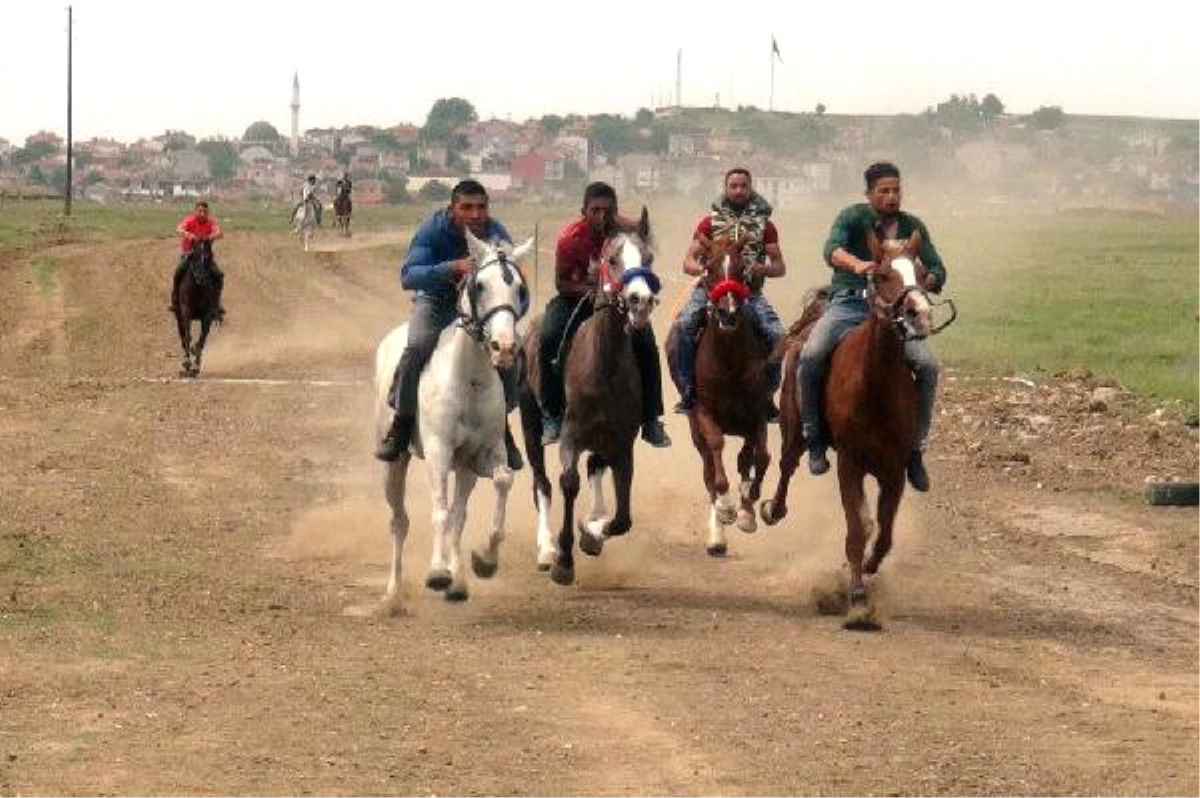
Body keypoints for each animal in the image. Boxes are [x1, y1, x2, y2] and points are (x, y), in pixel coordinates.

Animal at [172, 236, 222, 379]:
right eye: (193, 256)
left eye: (209, 256)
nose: (201, 278)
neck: (197, 289)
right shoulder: (186, 312)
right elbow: (187, 335)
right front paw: (187, 363)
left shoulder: (207, 315)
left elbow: (202, 338)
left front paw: (195, 366)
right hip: (178, 317)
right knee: (183, 337)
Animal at [369, 230, 530, 609]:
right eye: (480, 285)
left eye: (519, 288)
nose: (504, 347)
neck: (469, 380)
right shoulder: (439, 452)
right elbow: (439, 512)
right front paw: (437, 572)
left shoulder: (483, 455)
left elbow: (500, 482)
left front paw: (484, 561)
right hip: (394, 465)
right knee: (400, 521)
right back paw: (395, 593)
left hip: (465, 469)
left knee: (459, 514)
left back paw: (458, 583)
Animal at [662, 234, 772, 556]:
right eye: (708, 267)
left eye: (741, 268)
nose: (728, 312)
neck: (729, 363)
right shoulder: (704, 412)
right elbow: (716, 455)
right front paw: (726, 509)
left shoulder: (758, 413)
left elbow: (762, 457)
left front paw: (748, 509)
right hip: (694, 426)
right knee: (709, 470)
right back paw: (717, 537)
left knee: (746, 458)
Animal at [758, 230, 955, 628]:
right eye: (881, 274)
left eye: (922, 273)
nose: (919, 315)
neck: (875, 386)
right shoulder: (851, 462)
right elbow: (857, 528)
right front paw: (859, 600)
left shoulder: (894, 469)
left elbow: (884, 532)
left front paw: (869, 566)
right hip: (793, 426)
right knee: (787, 464)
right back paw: (774, 508)